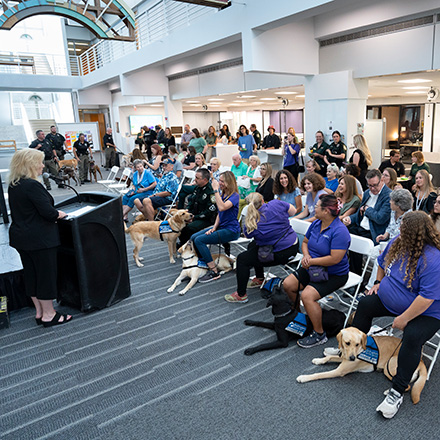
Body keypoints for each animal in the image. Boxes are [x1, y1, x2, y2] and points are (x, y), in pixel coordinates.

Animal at [296, 324, 426, 404]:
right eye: (347, 343)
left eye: (357, 344)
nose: (353, 358)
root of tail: (420, 360)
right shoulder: (344, 357)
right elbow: (329, 357)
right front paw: (318, 360)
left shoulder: (339, 371)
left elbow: (318, 374)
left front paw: (304, 377)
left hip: (390, 366)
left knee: (407, 386)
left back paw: (388, 391)